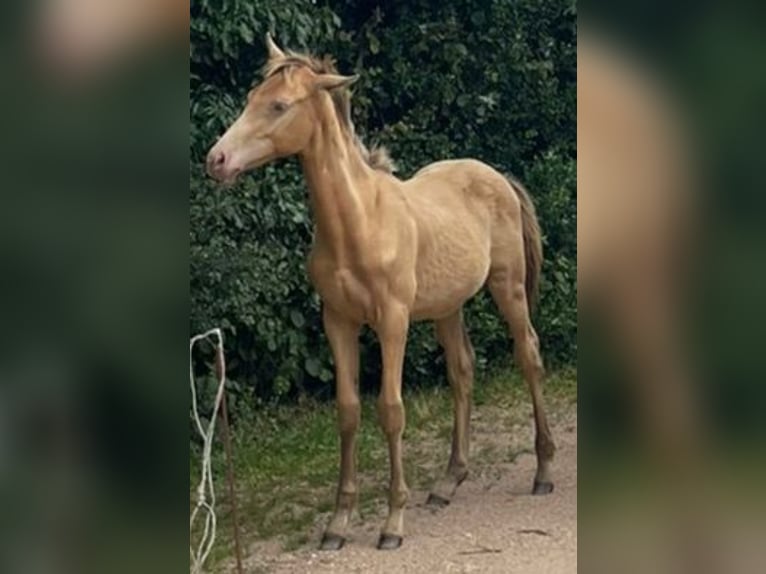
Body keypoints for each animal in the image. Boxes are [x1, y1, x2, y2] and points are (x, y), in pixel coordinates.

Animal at [207, 36, 556, 552]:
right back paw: (448, 481)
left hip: (507, 287)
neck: (358, 223)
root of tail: (499, 177)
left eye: (279, 106)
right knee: (462, 371)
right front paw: (338, 523)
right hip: (448, 307)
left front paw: (392, 523)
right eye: (251, 97)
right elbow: (349, 411)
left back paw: (544, 471)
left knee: (528, 355)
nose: (216, 160)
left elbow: (391, 411)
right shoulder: (338, 321)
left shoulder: (393, 321)